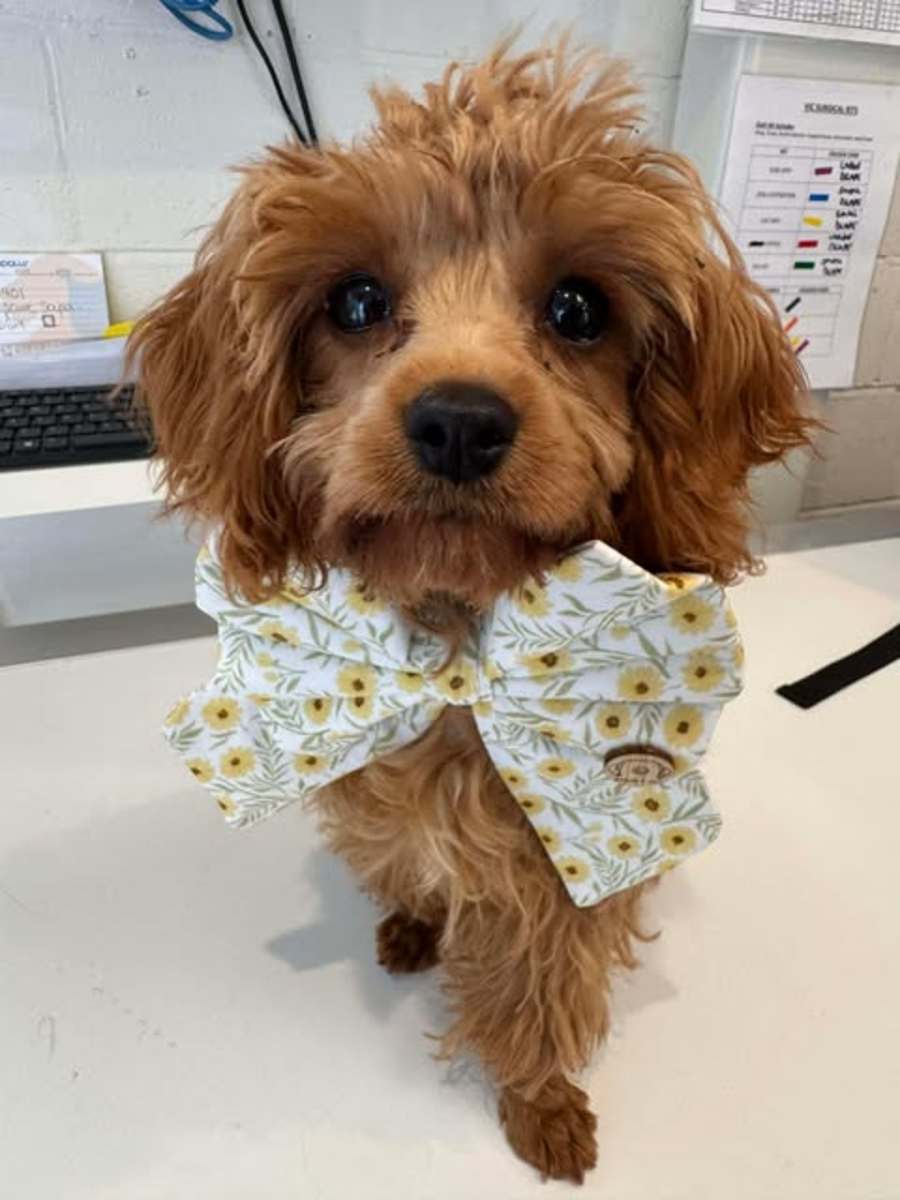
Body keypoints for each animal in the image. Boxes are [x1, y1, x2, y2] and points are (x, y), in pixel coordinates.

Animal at [130, 39, 810, 1183]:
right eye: (356, 302)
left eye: (578, 308)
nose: (457, 420)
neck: (456, 654)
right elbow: (404, 864)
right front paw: (413, 921)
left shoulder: (564, 864)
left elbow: (541, 995)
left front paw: (542, 1107)